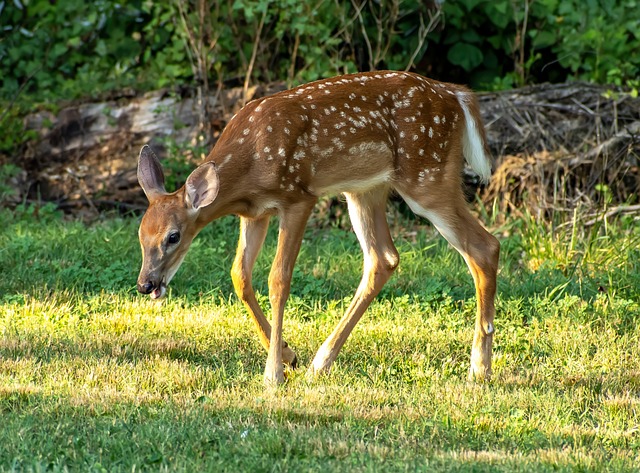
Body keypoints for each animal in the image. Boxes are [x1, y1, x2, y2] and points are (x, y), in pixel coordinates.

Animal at [138, 71, 500, 388]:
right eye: (141, 236)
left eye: (174, 236)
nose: (145, 284)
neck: (248, 166)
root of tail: (456, 94)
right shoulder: (255, 213)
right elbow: (239, 275)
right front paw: (288, 355)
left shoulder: (298, 198)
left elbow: (278, 279)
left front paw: (273, 374)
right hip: (365, 189)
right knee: (383, 259)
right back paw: (320, 362)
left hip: (427, 176)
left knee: (485, 246)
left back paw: (479, 368)